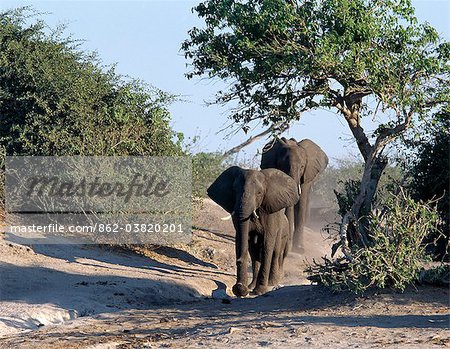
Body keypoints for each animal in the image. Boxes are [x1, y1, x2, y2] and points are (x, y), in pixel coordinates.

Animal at [207, 166, 298, 296]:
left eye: (259, 193)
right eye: (234, 191)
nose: (239, 287)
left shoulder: (270, 215)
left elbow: (267, 245)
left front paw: (259, 291)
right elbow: (242, 240)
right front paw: (241, 289)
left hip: (283, 234)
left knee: (275, 253)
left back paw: (272, 283)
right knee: (254, 254)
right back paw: (252, 285)